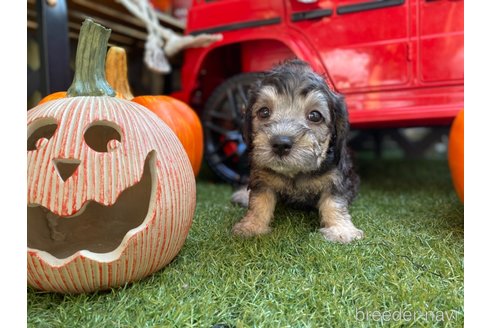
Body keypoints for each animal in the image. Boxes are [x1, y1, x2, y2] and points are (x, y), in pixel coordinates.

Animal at [233, 59, 364, 243]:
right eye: (264, 112)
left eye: (315, 116)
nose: (281, 144)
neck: (295, 173)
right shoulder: (262, 177)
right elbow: (259, 201)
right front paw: (252, 226)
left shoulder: (335, 178)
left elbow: (334, 202)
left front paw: (340, 229)